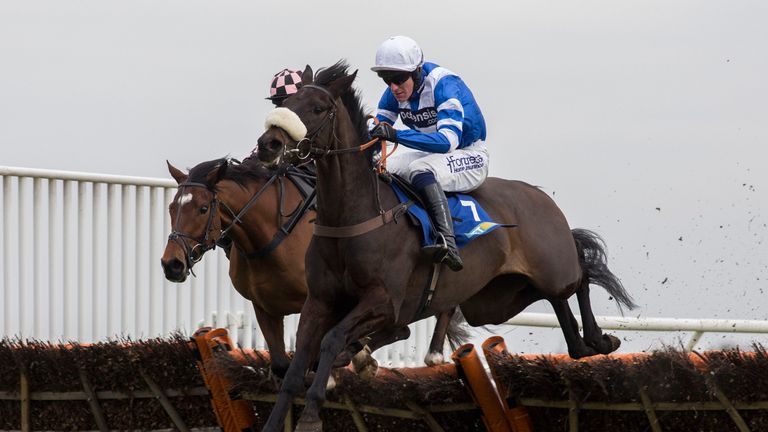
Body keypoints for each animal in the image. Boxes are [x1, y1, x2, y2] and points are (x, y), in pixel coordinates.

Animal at [159, 157, 460, 376]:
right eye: (172, 208)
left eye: (202, 209)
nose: (171, 264)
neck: (270, 237)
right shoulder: (264, 306)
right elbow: (282, 364)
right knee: (402, 328)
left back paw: (431, 353)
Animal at [255, 61, 632, 432]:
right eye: (286, 103)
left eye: (318, 108)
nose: (268, 144)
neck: (354, 216)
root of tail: (539, 195)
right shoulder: (319, 301)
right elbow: (296, 368)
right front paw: (279, 419)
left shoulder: (383, 301)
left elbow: (332, 339)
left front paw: (311, 414)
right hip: (495, 302)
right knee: (556, 300)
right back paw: (585, 344)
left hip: (552, 268)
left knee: (579, 276)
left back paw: (599, 339)